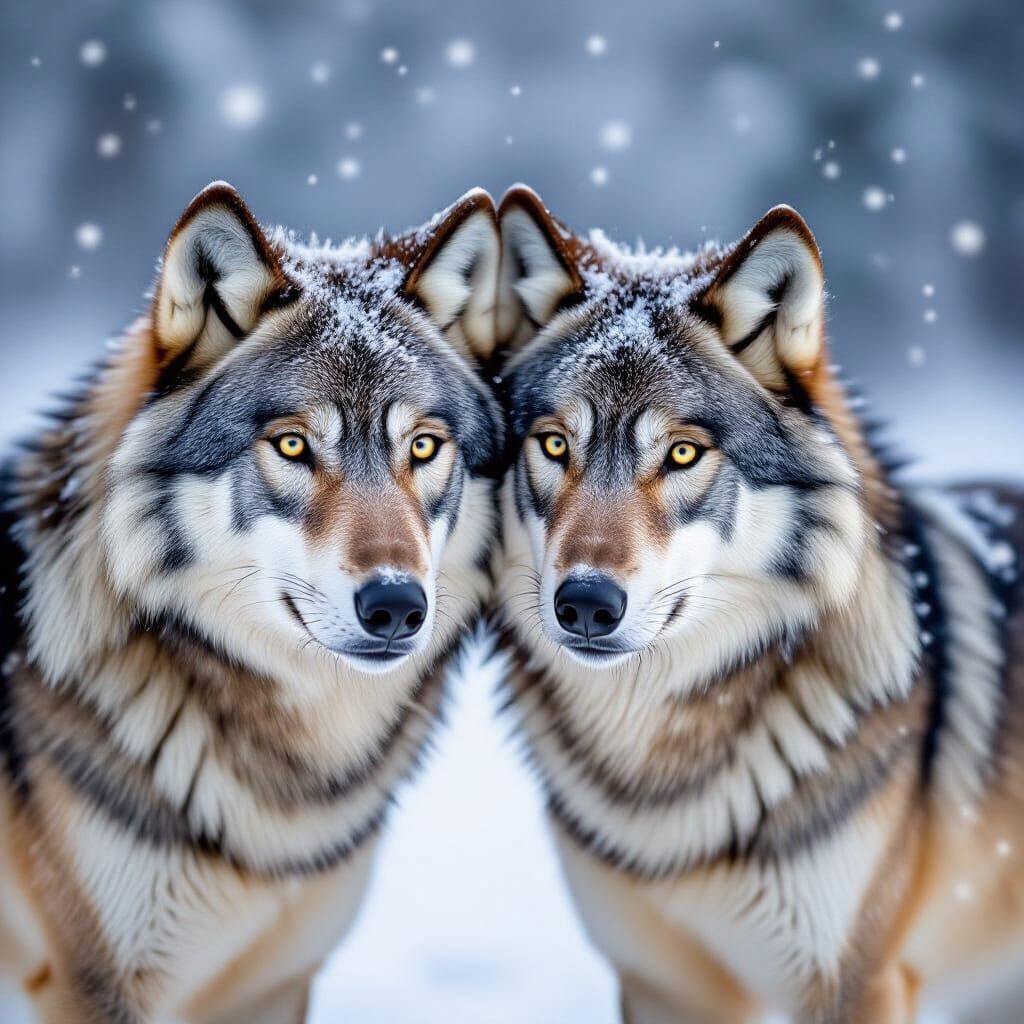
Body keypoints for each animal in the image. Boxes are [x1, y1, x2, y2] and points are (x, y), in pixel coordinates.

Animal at [493, 185, 1024, 1023]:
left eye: (682, 454)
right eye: (553, 445)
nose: (585, 604)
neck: (662, 784)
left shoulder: (859, 980)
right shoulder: (658, 985)